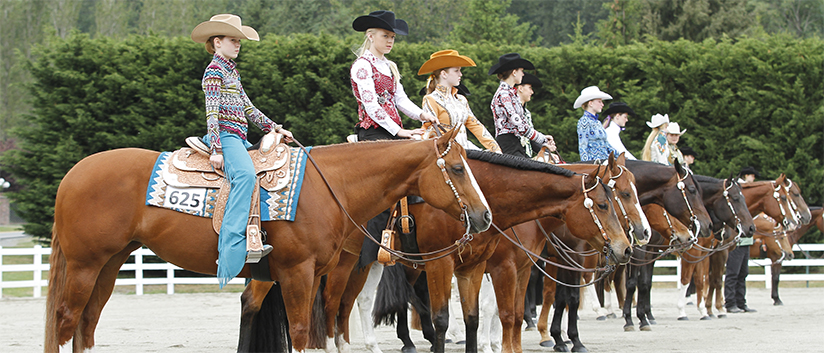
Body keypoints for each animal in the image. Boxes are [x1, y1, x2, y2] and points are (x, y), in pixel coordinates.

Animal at [45, 130, 492, 352]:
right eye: (457, 168)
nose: (484, 216)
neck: (329, 186)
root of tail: (74, 174)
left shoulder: (309, 276)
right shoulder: (296, 273)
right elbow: (300, 332)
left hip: (109, 265)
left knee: (86, 325)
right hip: (85, 265)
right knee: (67, 321)